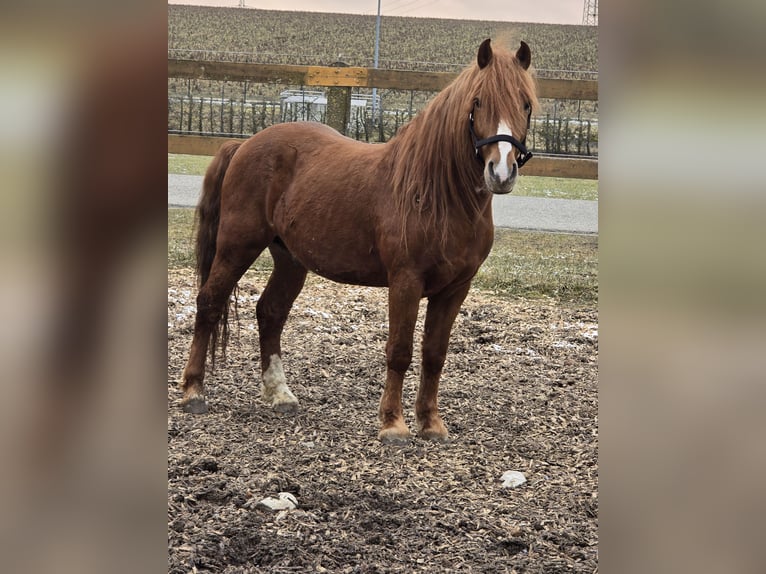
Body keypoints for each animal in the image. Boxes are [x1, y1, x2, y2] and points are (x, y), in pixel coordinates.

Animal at [180, 39, 540, 446]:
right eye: (478, 101)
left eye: (526, 103)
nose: (502, 171)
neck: (437, 194)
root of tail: (243, 146)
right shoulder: (405, 281)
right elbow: (399, 350)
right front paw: (393, 424)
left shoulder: (455, 288)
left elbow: (435, 353)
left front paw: (431, 423)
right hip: (236, 246)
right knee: (210, 302)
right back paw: (194, 392)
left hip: (290, 259)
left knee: (270, 312)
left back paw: (280, 395)